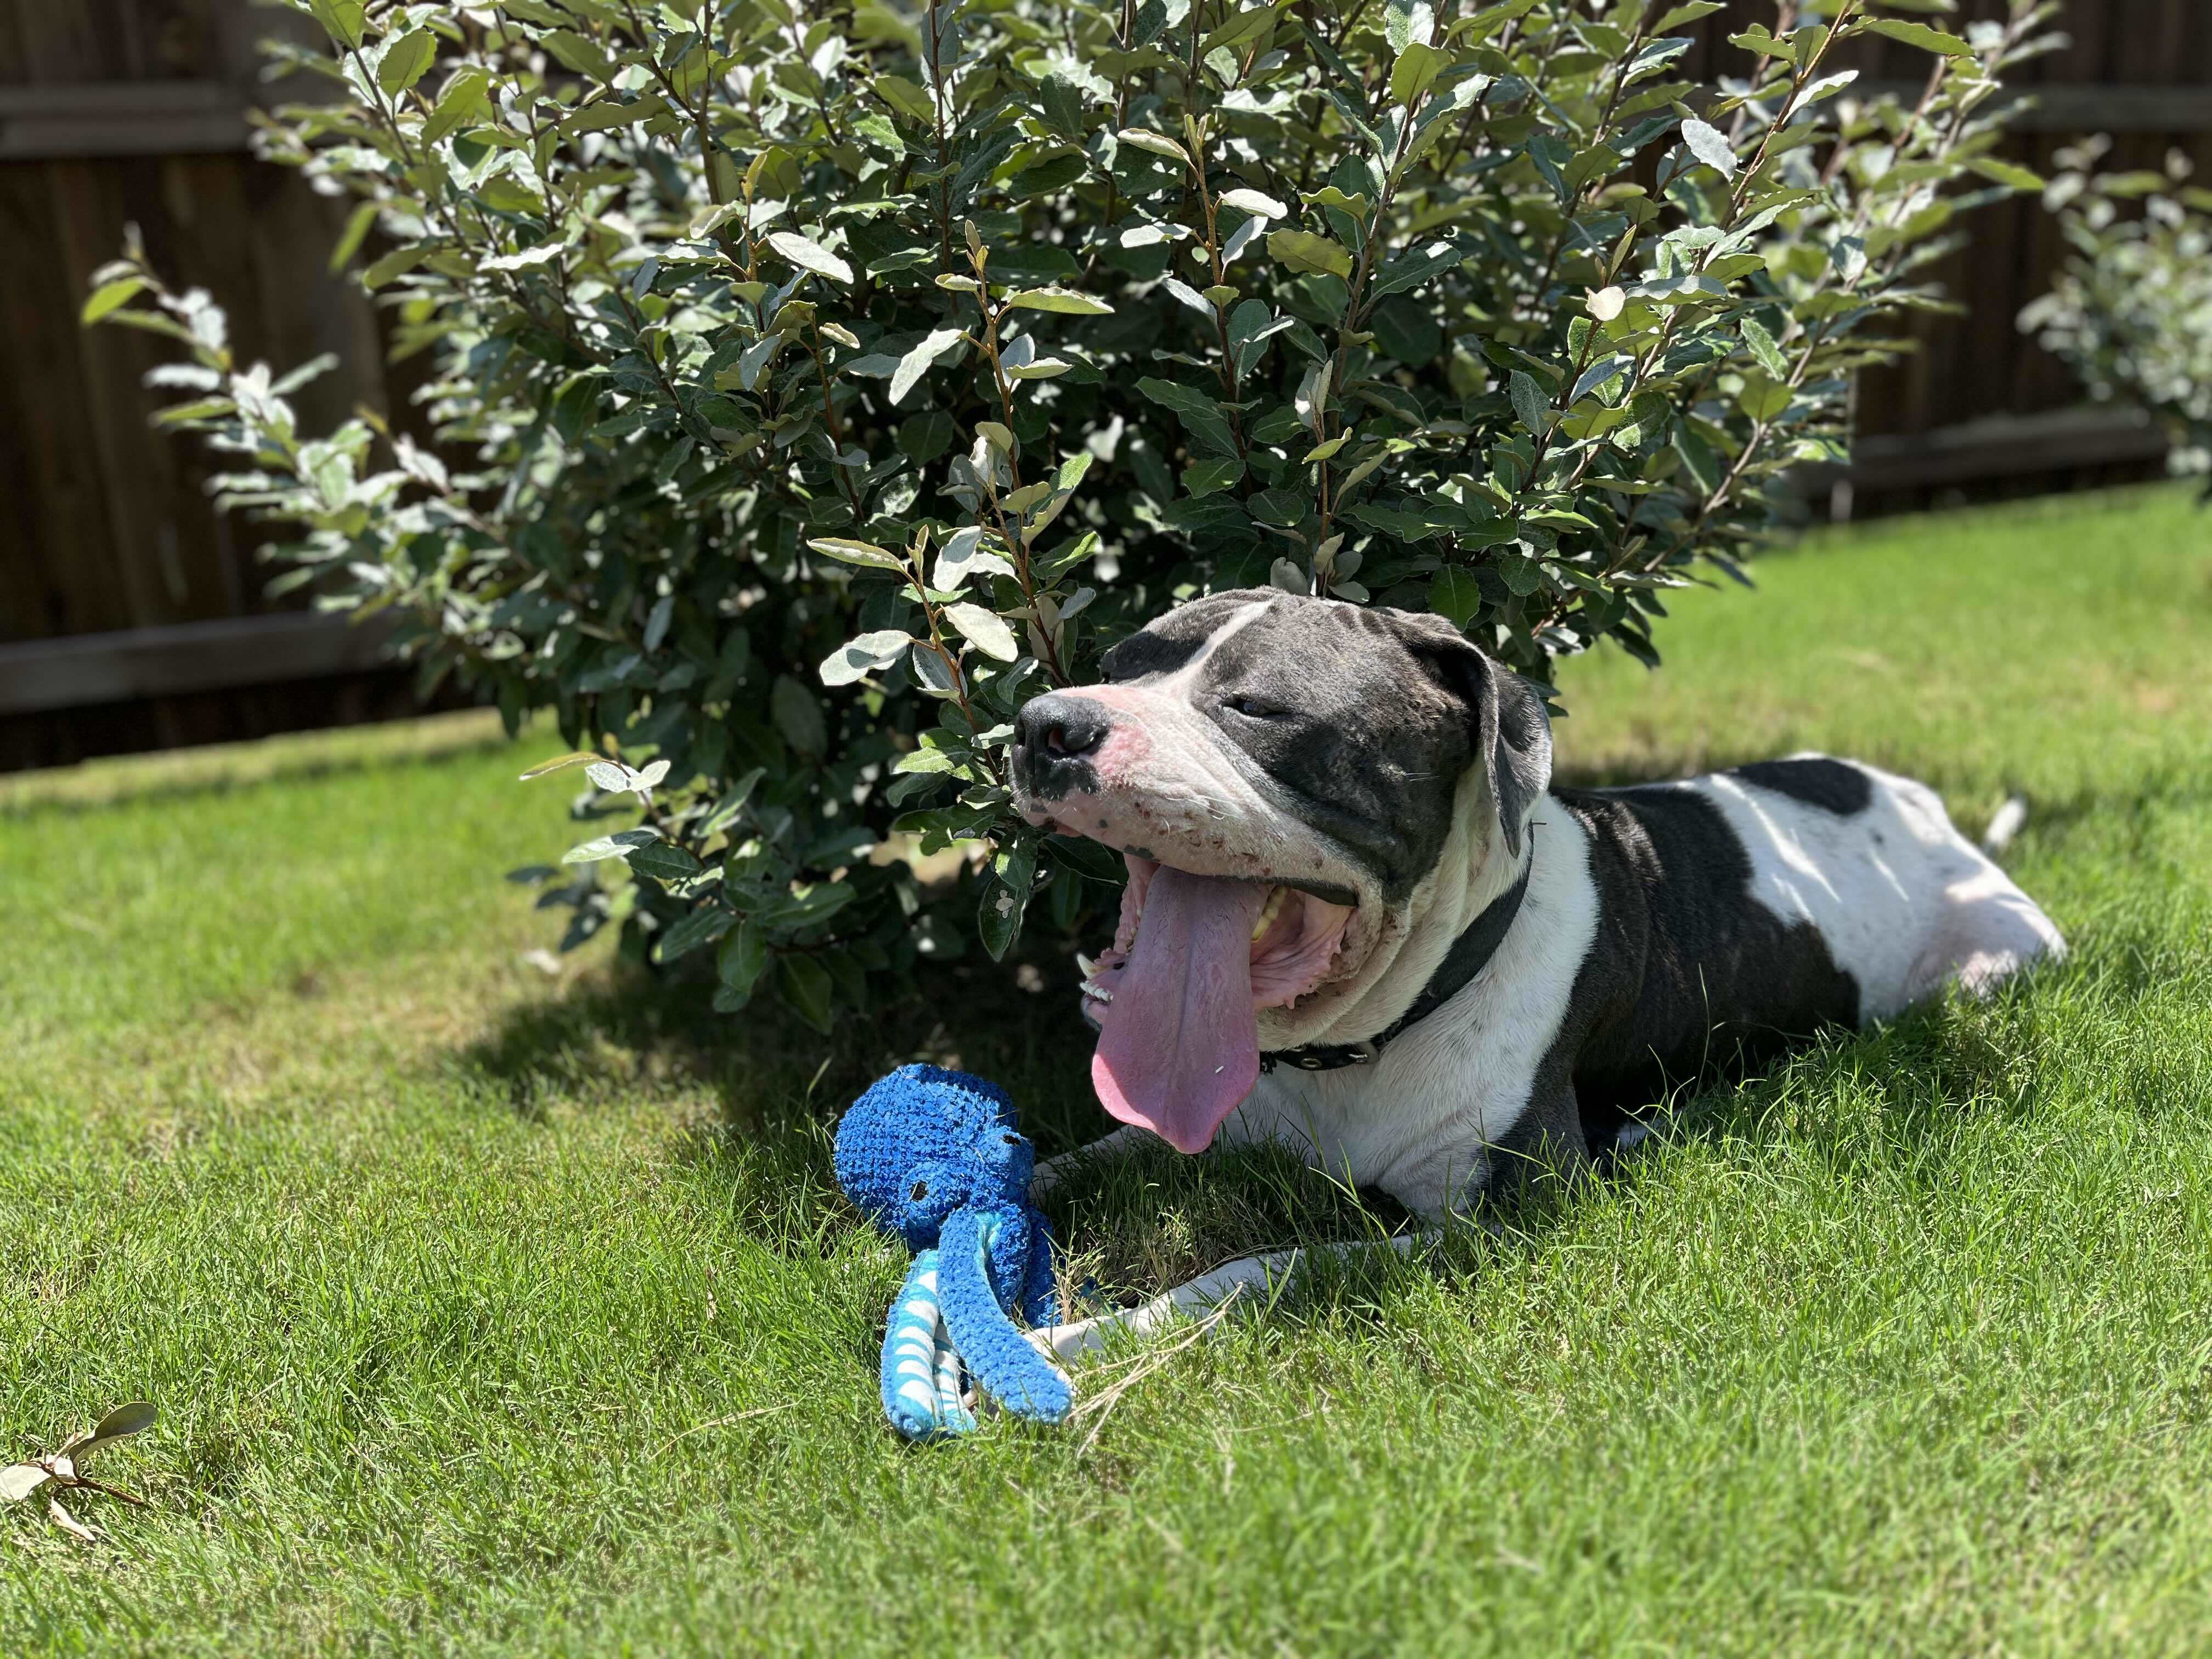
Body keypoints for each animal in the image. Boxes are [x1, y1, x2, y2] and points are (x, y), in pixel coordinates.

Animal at [1013, 592, 2061, 1229]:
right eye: (1119, 662)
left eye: (1257, 708)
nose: (1044, 724)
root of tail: (1932, 813)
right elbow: (1048, 1164)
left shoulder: (1481, 1219)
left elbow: (1238, 1277)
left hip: (1996, 963)